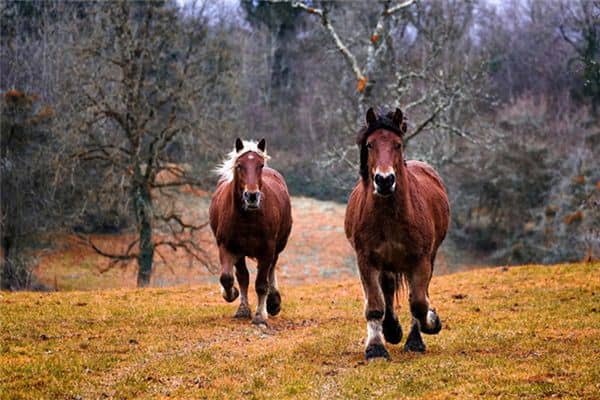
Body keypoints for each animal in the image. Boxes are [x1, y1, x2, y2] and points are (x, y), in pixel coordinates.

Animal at [210, 137, 292, 324]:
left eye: (260, 165)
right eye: (239, 165)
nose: (252, 196)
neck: (247, 218)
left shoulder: (267, 249)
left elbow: (261, 284)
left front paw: (260, 316)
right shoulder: (228, 247)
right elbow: (230, 278)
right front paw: (234, 298)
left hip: (277, 246)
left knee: (271, 268)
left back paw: (273, 302)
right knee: (243, 276)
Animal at [344, 107, 448, 360]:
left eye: (398, 144)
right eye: (370, 144)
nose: (384, 180)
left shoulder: (420, 260)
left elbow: (418, 303)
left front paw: (430, 324)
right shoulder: (367, 260)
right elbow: (375, 305)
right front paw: (376, 348)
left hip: (427, 258)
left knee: (416, 294)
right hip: (387, 264)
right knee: (388, 290)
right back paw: (391, 329)